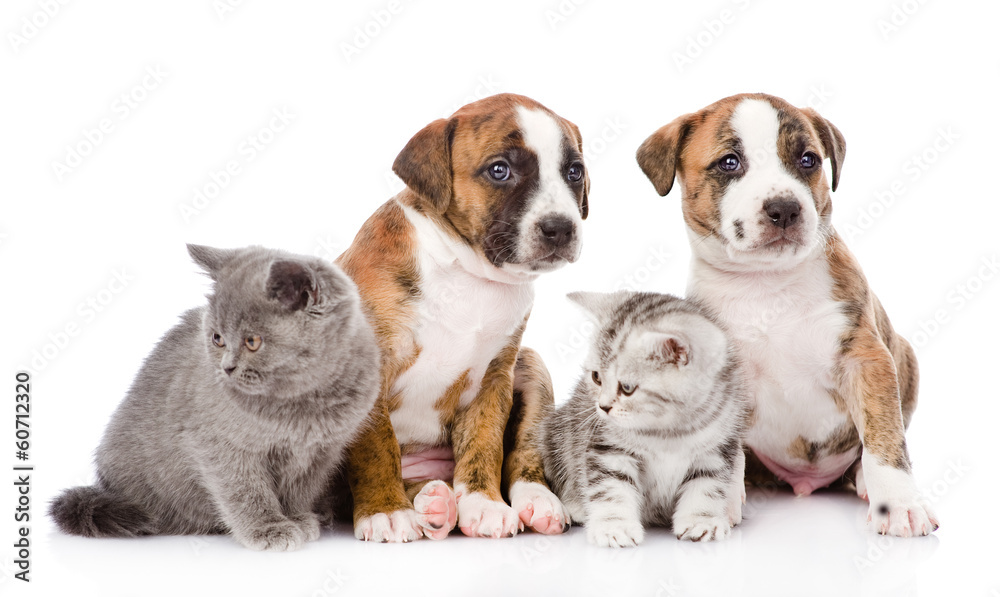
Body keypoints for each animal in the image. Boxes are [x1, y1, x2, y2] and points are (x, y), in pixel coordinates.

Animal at [48, 243, 380, 548]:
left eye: (252, 341)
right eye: (218, 338)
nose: (227, 367)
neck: (304, 404)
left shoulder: (321, 452)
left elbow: (299, 489)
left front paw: (298, 517)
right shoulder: (219, 447)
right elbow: (246, 490)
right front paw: (268, 528)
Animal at [338, 92, 584, 540]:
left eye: (574, 172)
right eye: (499, 170)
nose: (560, 227)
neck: (466, 273)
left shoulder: (492, 380)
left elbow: (485, 447)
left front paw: (484, 505)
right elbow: (377, 448)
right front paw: (385, 511)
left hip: (531, 364)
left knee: (523, 455)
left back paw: (530, 501)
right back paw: (432, 503)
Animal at [544, 292, 748, 548]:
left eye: (627, 388)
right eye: (596, 377)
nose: (602, 406)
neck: (668, 430)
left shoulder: (716, 448)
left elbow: (707, 487)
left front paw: (700, 520)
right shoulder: (609, 449)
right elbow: (612, 488)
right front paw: (614, 525)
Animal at [640, 92, 936, 536]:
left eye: (808, 160)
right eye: (730, 162)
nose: (784, 208)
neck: (767, 284)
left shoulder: (865, 358)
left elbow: (884, 434)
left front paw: (900, 503)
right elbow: (722, 447)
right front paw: (716, 502)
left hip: (905, 357)